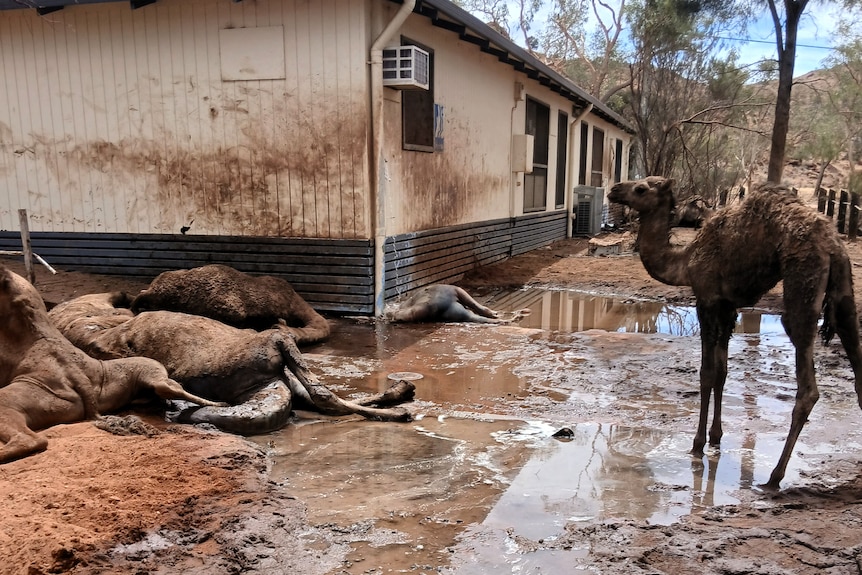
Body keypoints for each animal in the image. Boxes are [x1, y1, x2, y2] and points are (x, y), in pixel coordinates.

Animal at [49, 293, 414, 434]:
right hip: (271, 349)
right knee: (320, 395)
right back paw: (399, 407)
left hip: (273, 360)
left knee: (316, 396)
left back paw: (401, 394)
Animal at [608, 177, 862, 489]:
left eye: (641, 188)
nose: (614, 190)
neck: (685, 261)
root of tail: (832, 244)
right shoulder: (728, 308)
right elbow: (722, 372)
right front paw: (716, 438)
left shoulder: (707, 300)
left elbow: (707, 373)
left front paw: (697, 444)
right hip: (845, 286)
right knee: (855, 361)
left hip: (803, 282)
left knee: (807, 387)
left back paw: (774, 478)